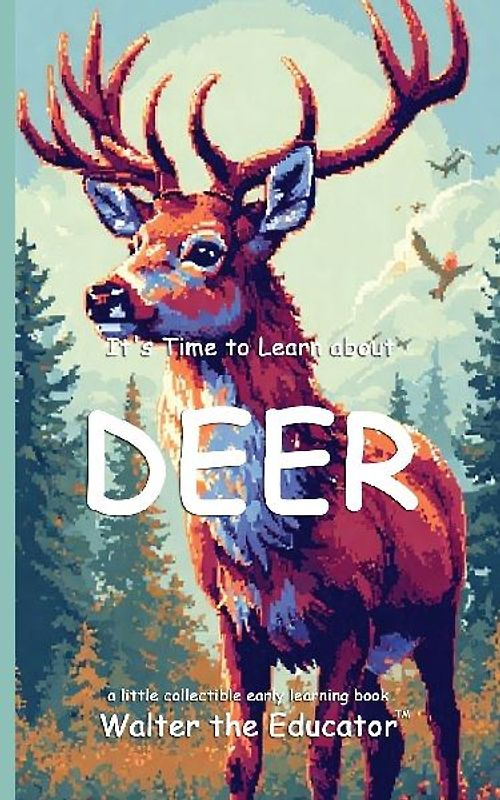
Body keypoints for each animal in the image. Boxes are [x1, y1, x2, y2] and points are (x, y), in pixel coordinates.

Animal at [17, 2, 469, 798]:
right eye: (135, 237)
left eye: (206, 248)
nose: (103, 294)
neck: (271, 547)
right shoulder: (236, 624)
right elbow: (241, 759)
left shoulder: (349, 622)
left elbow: (321, 760)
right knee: (390, 742)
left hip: (439, 611)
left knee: (443, 724)